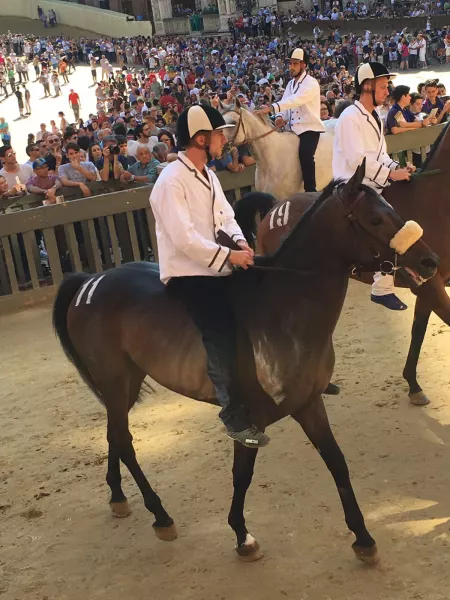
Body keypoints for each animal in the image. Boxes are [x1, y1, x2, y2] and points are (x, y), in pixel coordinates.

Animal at [51, 164, 436, 564]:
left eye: (392, 208)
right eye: (375, 218)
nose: (429, 261)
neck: (282, 308)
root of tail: (90, 282)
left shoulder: (309, 403)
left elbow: (337, 463)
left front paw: (363, 537)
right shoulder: (250, 418)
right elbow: (242, 474)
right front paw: (242, 535)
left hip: (126, 382)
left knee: (113, 434)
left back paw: (117, 496)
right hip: (114, 380)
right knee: (124, 441)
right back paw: (160, 515)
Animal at [236, 126, 450, 408]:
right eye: (376, 220)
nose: (428, 259)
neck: (434, 201)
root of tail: (275, 208)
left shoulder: (429, 284)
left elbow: (418, 330)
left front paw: (413, 384)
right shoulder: (430, 286)